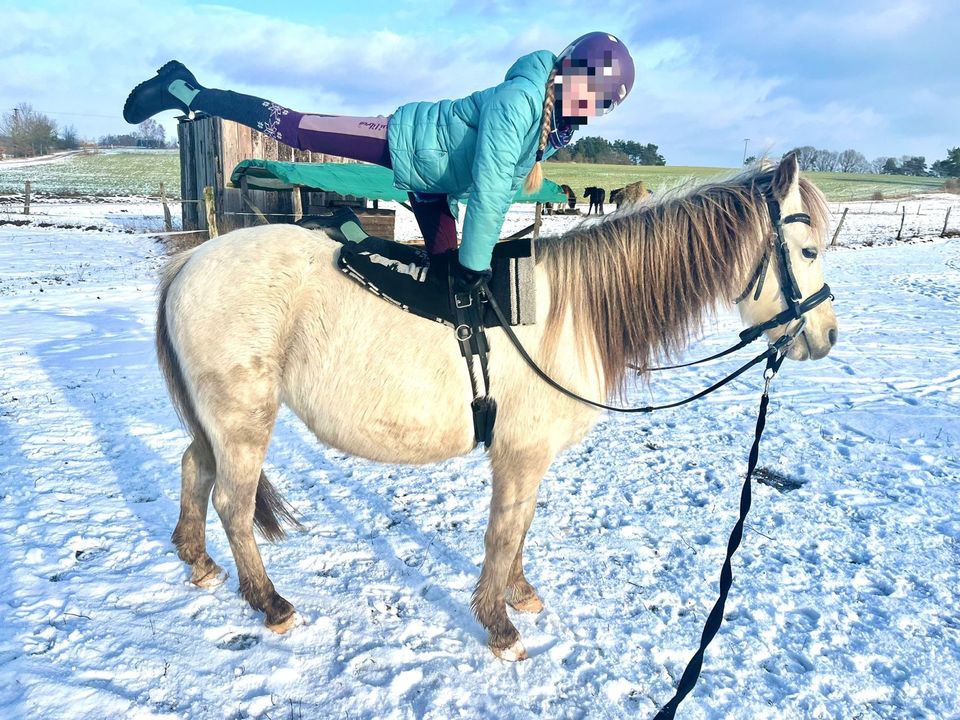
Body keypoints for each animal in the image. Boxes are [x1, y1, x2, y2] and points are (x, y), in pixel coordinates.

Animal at [156, 155, 832, 660]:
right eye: (809, 251)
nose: (824, 338)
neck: (570, 314)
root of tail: (192, 259)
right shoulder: (521, 455)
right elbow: (503, 533)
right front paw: (500, 625)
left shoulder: (528, 458)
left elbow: (521, 528)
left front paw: (520, 593)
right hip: (244, 420)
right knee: (232, 503)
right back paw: (269, 603)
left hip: (219, 421)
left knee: (195, 468)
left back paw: (199, 562)